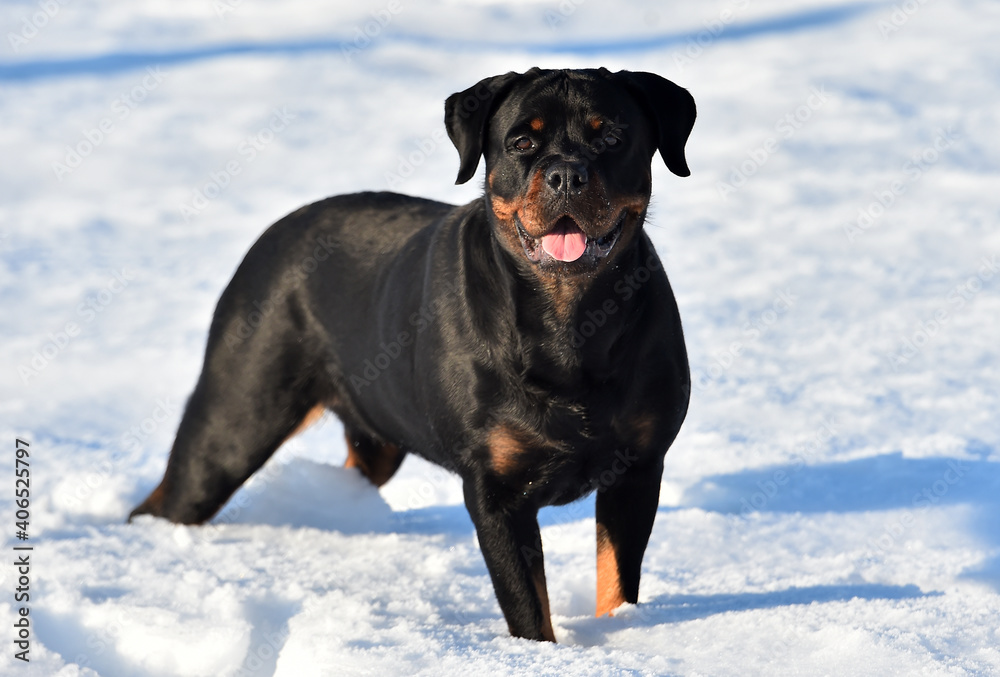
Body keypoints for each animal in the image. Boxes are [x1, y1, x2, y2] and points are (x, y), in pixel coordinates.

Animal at [131, 66, 696, 640]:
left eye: (612, 138)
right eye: (522, 142)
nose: (566, 175)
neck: (569, 321)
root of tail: (272, 235)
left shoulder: (637, 468)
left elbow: (617, 582)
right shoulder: (496, 493)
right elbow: (528, 607)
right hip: (234, 423)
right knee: (170, 495)